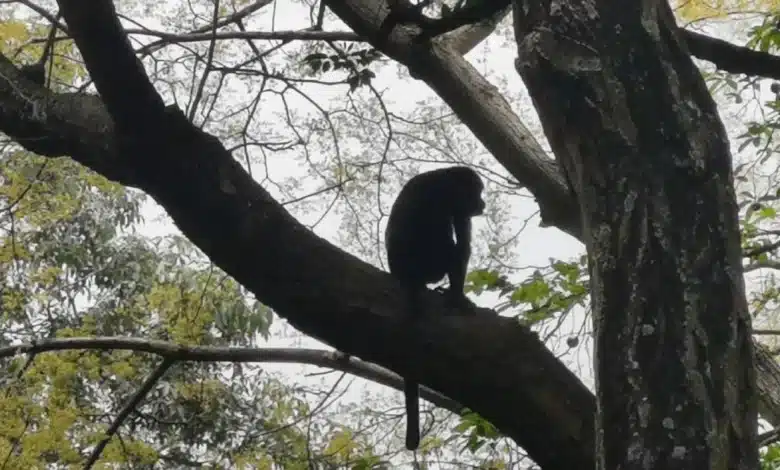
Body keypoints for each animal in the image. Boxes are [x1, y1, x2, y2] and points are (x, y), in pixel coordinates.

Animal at [384, 165, 485, 450]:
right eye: (478, 192)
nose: (482, 202)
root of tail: (403, 273)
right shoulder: (445, 200)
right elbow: (456, 244)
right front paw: (456, 295)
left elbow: (463, 242)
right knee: (446, 247)